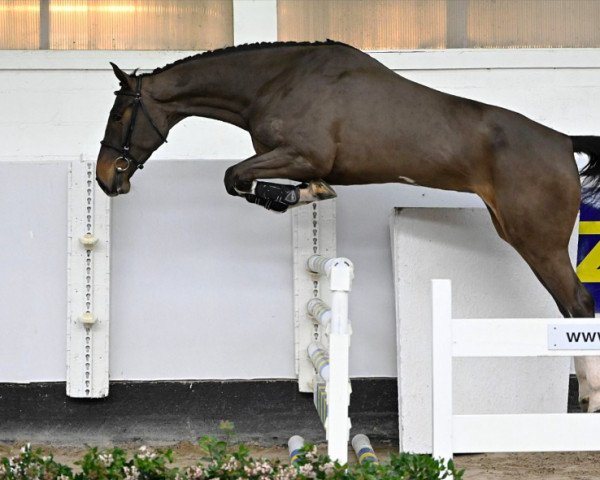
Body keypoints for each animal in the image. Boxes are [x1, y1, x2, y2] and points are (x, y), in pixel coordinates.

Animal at [95, 39, 600, 410]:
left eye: (119, 114)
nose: (105, 178)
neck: (275, 82)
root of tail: (563, 141)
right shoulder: (296, 159)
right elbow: (244, 178)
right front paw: (307, 194)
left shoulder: (300, 155)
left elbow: (234, 176)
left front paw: (294, 196)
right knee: (569, 308)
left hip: (537, 241)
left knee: (577, 304)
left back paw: (590, 399)